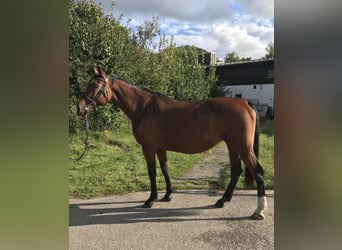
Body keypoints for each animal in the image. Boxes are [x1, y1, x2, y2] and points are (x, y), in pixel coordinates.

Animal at [77, 67, 268, 220]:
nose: (79, 108)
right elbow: (165, 169)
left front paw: (150, 200)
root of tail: (246, 102)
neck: (144, 108)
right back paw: (222, 201)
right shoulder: (160, 148)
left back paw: (259, 211)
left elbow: (152, 173)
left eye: (95, 86)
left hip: (243, 148)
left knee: (257, 172)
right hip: (232, 146)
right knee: (236, 171)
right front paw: (167, 195)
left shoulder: (149, 148)